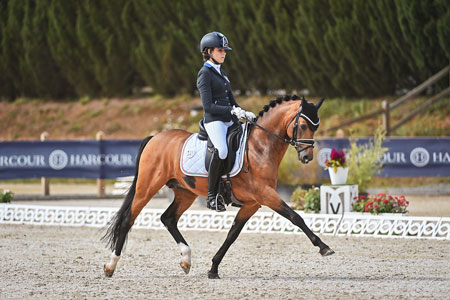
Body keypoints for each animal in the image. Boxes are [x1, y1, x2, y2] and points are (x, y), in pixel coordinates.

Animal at [102, 94, 334, 278]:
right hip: (147, 186)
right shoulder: (266, 195)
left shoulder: (252, 203)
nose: (306, 157)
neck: (260, 148)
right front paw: (324, 247)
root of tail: (155, 137)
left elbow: (232, 234)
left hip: (185, 192)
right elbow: (296, 217)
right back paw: (111, 266)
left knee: (168, 218)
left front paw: (213, 269)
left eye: (315, 127)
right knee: (128, 219)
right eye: (302, 126)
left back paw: (186, 259)